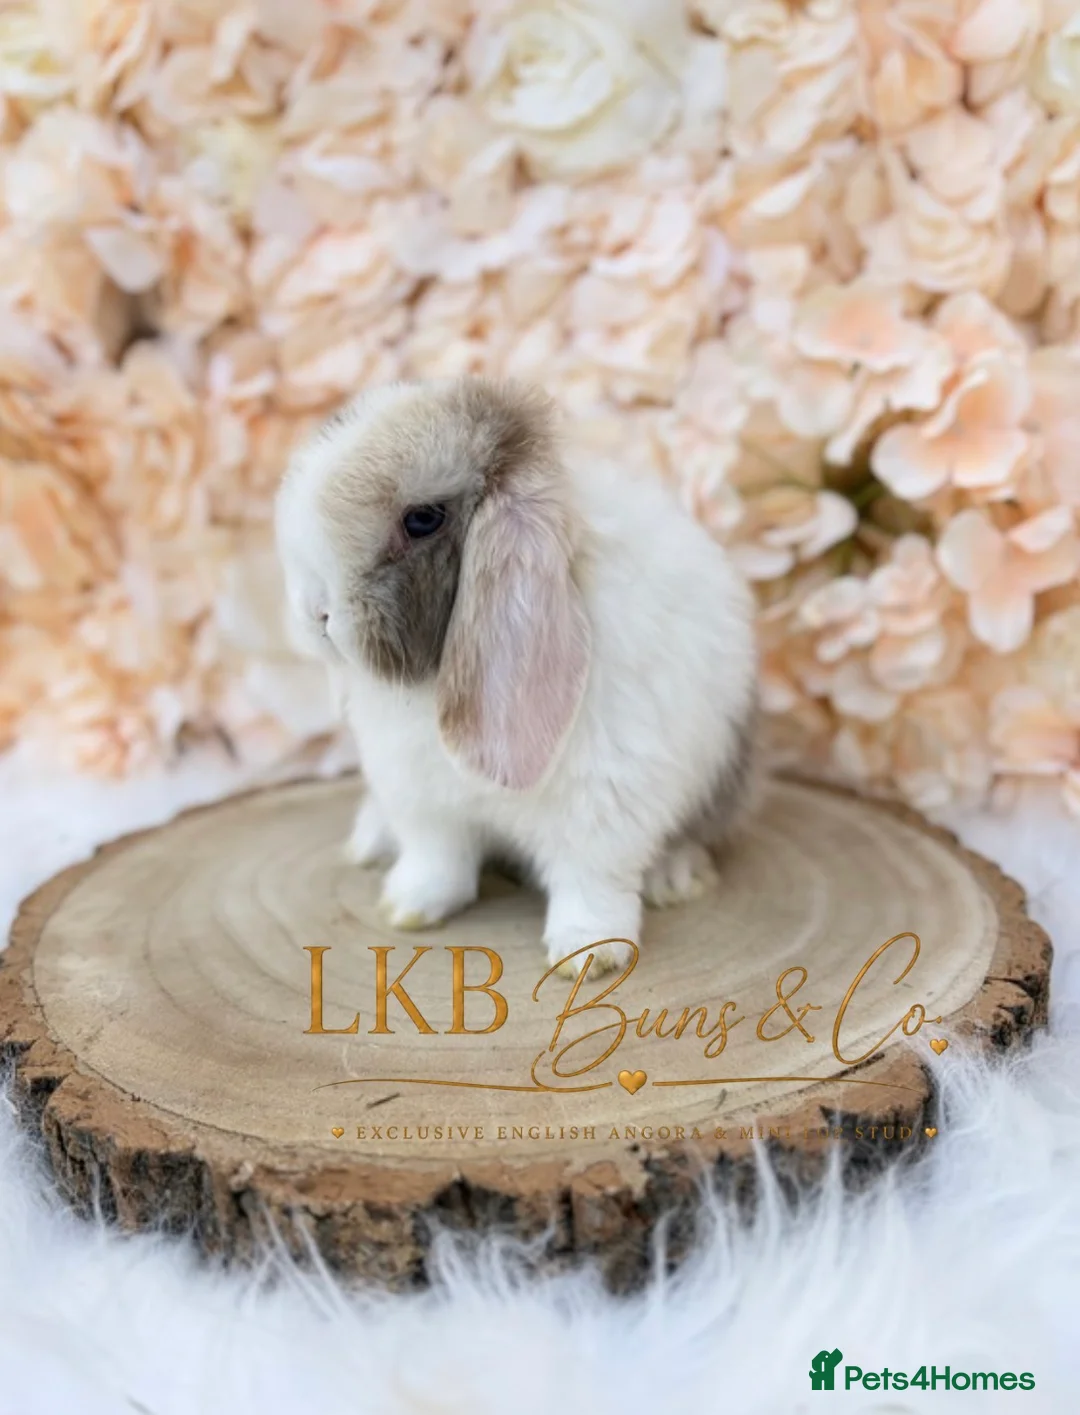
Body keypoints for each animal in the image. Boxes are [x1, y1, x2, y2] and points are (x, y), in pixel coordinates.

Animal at [275, 376, 759, 978]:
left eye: (423, 519)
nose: (310, 610)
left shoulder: (604, 807)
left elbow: (589, 884)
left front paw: (587, 957)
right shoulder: (424, 803)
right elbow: (436, 863)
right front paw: (406, 908)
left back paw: (676, 876)